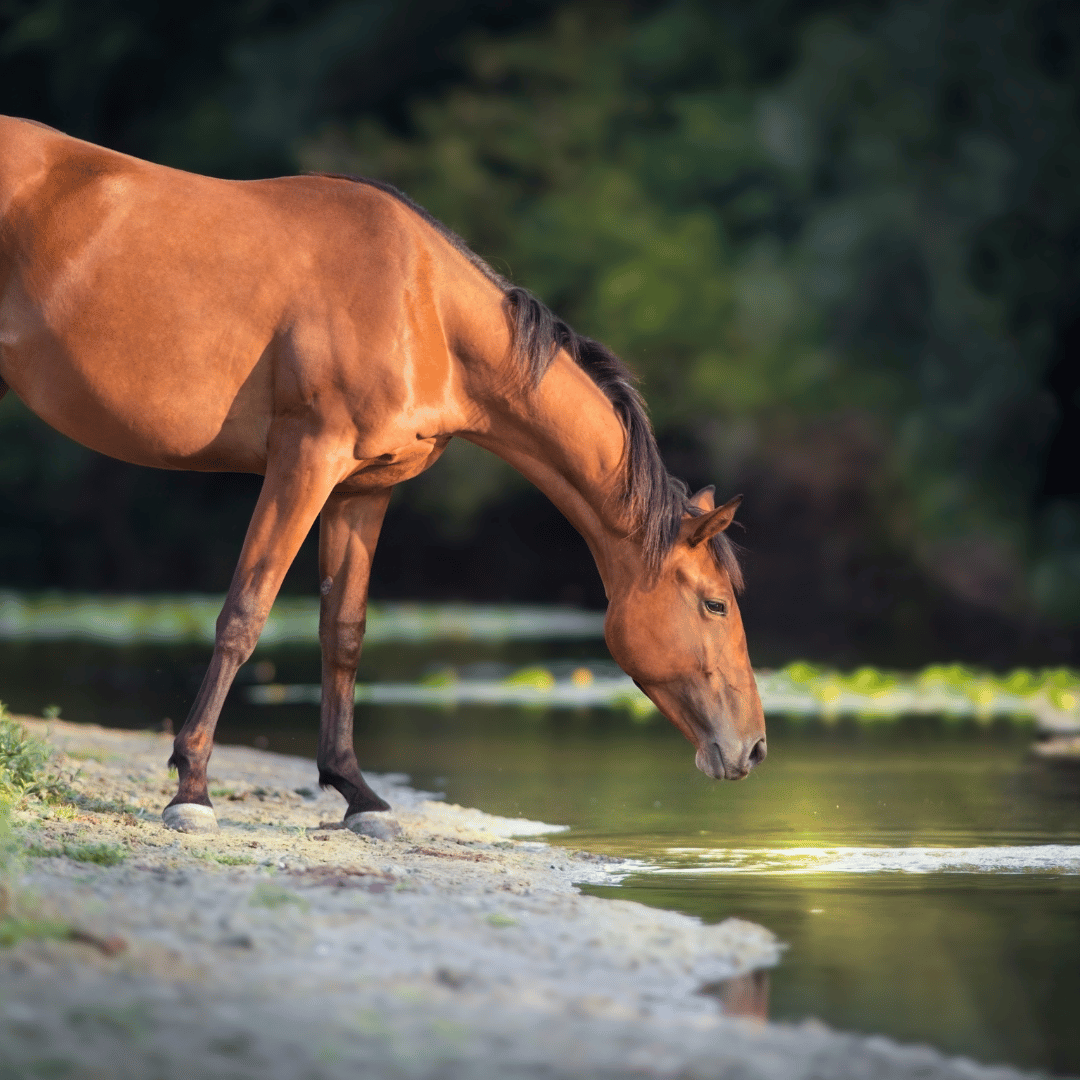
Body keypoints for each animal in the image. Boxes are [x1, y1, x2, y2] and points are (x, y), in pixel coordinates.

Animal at [0, 113, 764, 829]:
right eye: (715, 604)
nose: (753, 749)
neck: (423, 307)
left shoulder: (364, 487)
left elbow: (344, 631)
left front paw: (356, 793)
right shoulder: (306, 460)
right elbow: (245, 613)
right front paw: (192, 788)